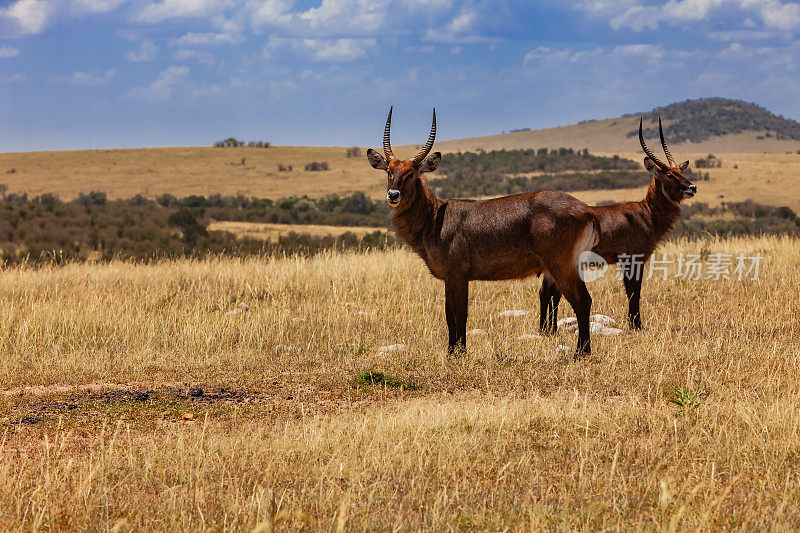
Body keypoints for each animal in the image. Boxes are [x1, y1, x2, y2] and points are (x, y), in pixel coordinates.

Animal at [368, 107, 600, 358]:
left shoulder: (457, 274)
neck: (435, 218)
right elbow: (451, 312)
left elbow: (458, 312)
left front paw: (458, 352)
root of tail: (587, 209)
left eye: (411, 173)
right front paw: (454, 350)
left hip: (561, 265)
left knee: (581, 301)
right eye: (389, 171)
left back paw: (581, 353)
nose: (393, 195)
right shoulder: (451, 277)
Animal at [536, 117, 700, 332]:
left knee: (549, 292)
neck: (647, 213)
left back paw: (549, 329)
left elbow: (632, 291)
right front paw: (636, 325)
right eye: (669, 175)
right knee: (548, 292)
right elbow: (634, 291)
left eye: (681, 170)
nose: (692, 187)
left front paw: (634, 323)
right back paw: (546, 329)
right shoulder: (633, 258)